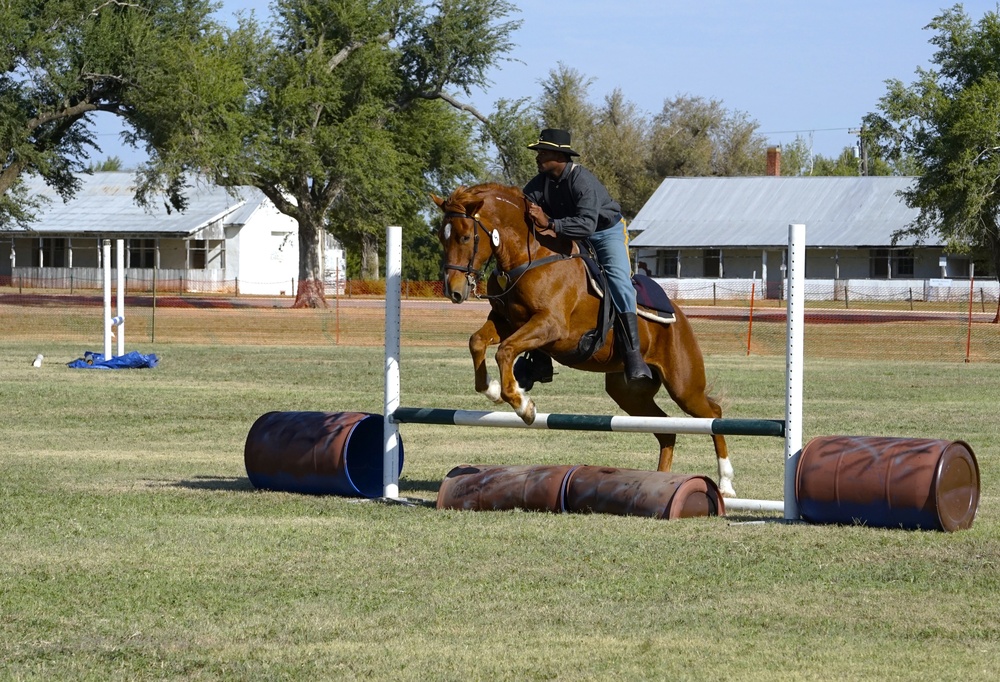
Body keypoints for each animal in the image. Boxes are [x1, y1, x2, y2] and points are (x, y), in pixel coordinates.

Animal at [430, 185, 736, 494]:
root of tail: (681, 316)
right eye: (442, 237)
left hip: (683, 386)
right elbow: (477, 342)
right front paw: (493, 390)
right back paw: (662, 482)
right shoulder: (506, 322)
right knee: (666, 430)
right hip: (629, 393)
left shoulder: (551, 325)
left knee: (713, 414)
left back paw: (725, 484)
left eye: (465, 236)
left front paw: (523, 405)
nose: (454, 291)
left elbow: (504, 351)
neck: (527, 257)